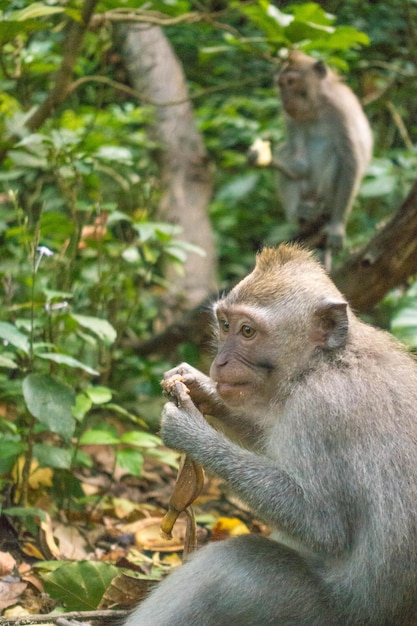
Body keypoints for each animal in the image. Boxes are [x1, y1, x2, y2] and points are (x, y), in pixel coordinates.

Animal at [122, 243, 416, 624]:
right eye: (226, 325)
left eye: (248, 332)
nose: (219, 363)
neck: (322, 362)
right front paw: (201, 389)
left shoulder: (319, 410)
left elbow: (324, 525)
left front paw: (190, 430)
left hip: (316, 611)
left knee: (225, 568)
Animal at [249, 50, 372, 252]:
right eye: (281, 84)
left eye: (291, 82)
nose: (285, 98)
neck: (317, 107)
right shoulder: (291, 117)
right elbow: (298, 164)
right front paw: (257, 157)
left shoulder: (340, 109)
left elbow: (351, 161)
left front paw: (337, 226)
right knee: (286, 151)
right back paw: (298, 211)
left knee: (335, 154)